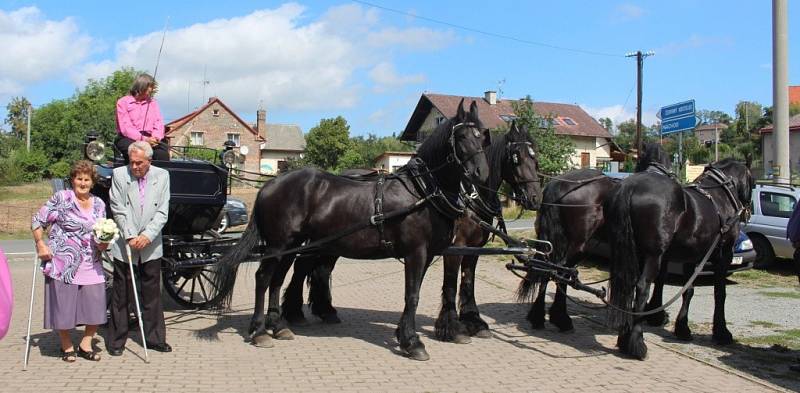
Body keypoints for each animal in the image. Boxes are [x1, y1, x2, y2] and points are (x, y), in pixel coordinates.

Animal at [212, 99, 488, 362]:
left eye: (483, 135)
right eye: (461, 136)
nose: (481, 173)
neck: (421, 191)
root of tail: (270, 185)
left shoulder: (428, 255)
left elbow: (415, 293)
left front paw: (404, 335)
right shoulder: (416, 253)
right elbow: (412, 296)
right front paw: (413, 342)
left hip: (291, 246)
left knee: (277, 280)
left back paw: (279, 327)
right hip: (277, 245)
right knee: (263, 278)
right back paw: (259, 331)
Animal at [280, 121, 544, 342]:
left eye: (536, 158)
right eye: (516, 157)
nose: (534, 198)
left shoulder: (474, 249)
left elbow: (468, 283)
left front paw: (474, 321)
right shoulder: (454, 248)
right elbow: (451, 283)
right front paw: (451, 327)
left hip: (331, 243)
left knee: (320, 270)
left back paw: (325, 311)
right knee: (303, 266)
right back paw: (295, 313)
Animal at [516, 142, 672, 330]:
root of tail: (558, 183)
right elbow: (658, 279)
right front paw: (656, 314)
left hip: (556, 242)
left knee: (548, 268)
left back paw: (541, 317)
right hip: (576, 244)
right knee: (559, 271)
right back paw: (560, 318)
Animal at [608, 157, 752, 358]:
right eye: (753, 181)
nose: (748, 211)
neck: (720, 198)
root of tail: (631, 187)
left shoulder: (691, 257)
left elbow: (688, 290)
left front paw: (682, 328)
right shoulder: (723, 255)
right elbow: (720, 293)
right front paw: (722, 332)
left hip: (632, 253)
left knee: (628, 285)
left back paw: (624, 340)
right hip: (652, 255)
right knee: (642, 287)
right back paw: (637, 343)